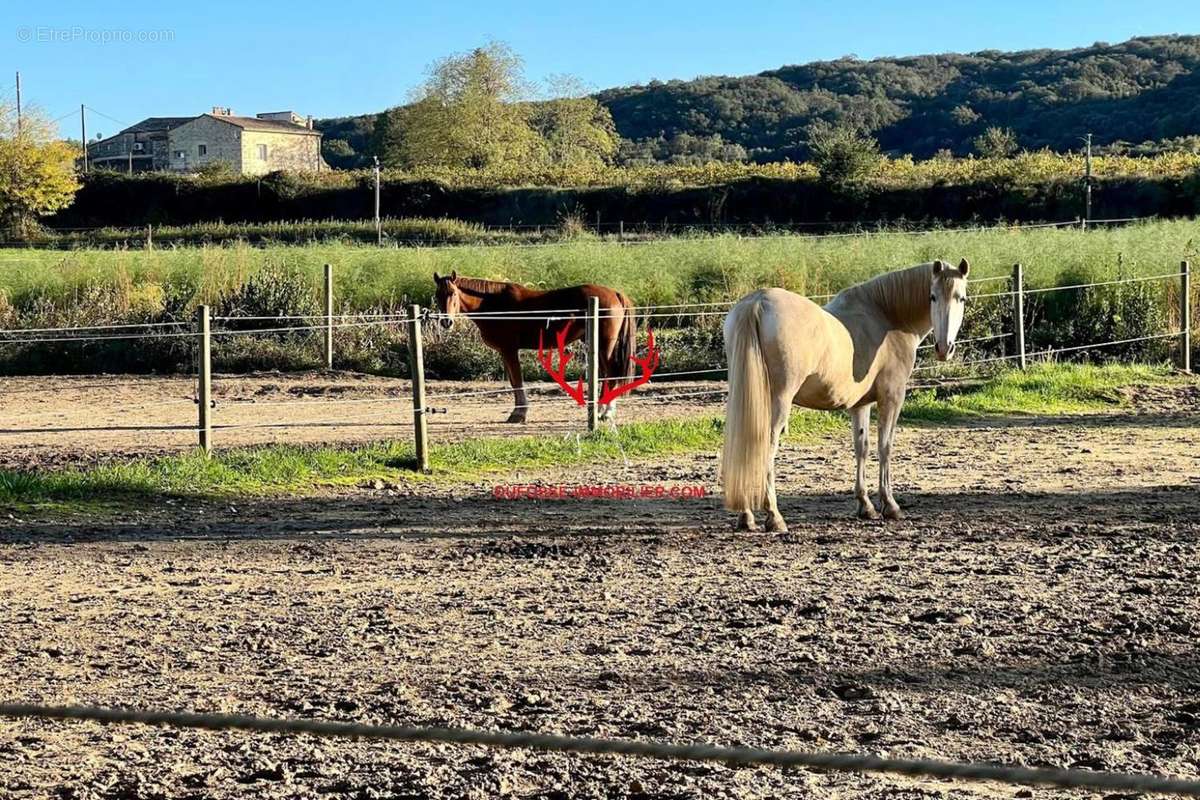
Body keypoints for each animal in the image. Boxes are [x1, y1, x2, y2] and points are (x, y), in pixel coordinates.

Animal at [434, 273, 638, 424]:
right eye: (437, 296)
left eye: (453, 293)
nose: (446, 322)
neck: (492, 304)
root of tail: (615, 293)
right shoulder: (505, 352)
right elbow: (513, 382)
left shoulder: (509, 350)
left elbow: (517, 381)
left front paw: (518, 414)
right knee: (605, 375)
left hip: (605, 345)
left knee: (611, 374)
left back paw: (606, 412)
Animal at [720, 257, 964, 532]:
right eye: (932, 296)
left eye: (961, 297)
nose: (944, 348)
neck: (887, 317)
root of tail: (757, 302)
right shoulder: (892, 398)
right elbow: (885, 446)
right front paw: (890, 506)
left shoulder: (860, 405)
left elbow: (862, 447)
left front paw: (866, 506)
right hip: (777, 403)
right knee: (764, 447)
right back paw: (774, 516)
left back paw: (746, 516)